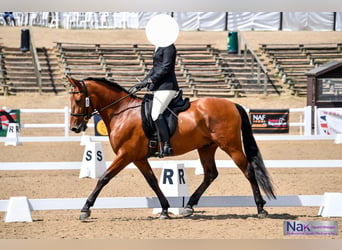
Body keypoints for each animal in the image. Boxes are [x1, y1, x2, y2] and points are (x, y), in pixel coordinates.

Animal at [67, 76, 276, 221]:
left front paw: (85, 209)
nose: (75, 128)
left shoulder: (125, 154)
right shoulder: (138, 157)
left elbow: (104, 178)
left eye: (78, 100)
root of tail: (232, 104)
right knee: (210, 174)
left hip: (231, 146)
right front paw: (165, 209)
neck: (121, 112)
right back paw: (189, 206)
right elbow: (152, 181)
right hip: (207, 147)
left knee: (248, 171)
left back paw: (260, 208)